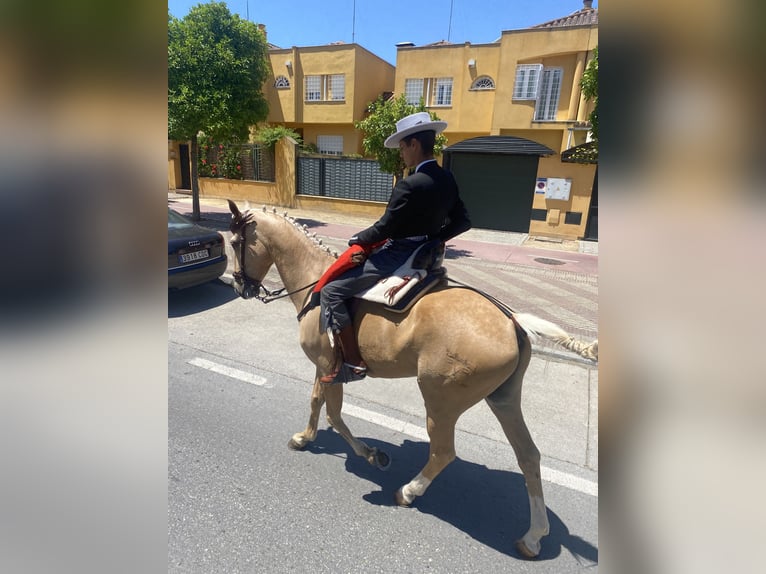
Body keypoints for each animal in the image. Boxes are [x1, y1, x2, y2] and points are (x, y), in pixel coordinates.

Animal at [228, 201, 600, 560]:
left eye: (234, 242)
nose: (239, 285)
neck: (316, 278)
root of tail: (512, 321)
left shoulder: (326, 366)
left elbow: (329, 410)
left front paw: (369, 454)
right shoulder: (325, 369)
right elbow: (319, 403)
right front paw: (306, 438)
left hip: (440, 402)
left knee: (444, 452)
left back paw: (408, 491)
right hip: (504, 400)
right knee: (529, 457)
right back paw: (533, 537)